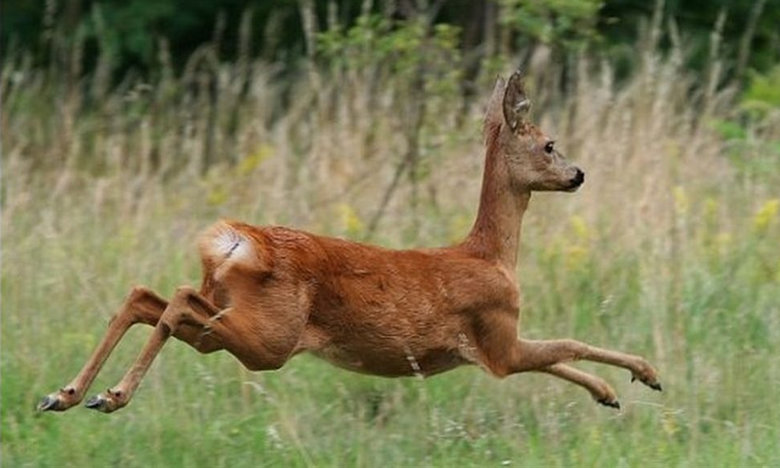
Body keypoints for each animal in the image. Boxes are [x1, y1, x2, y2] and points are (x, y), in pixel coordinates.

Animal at [38, 70, 660, 414]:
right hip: (270, 338)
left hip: (233, 322)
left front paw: (611, 393)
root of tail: (237, 243)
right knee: (176, 300)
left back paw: (66, 394)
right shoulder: (496, 337)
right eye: (550, 143)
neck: (492, 256)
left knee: (148, 296)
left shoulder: (494, 349)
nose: (579, 174)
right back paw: (110, 395)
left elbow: (559, 355)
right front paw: (645, 372)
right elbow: (568, 344)